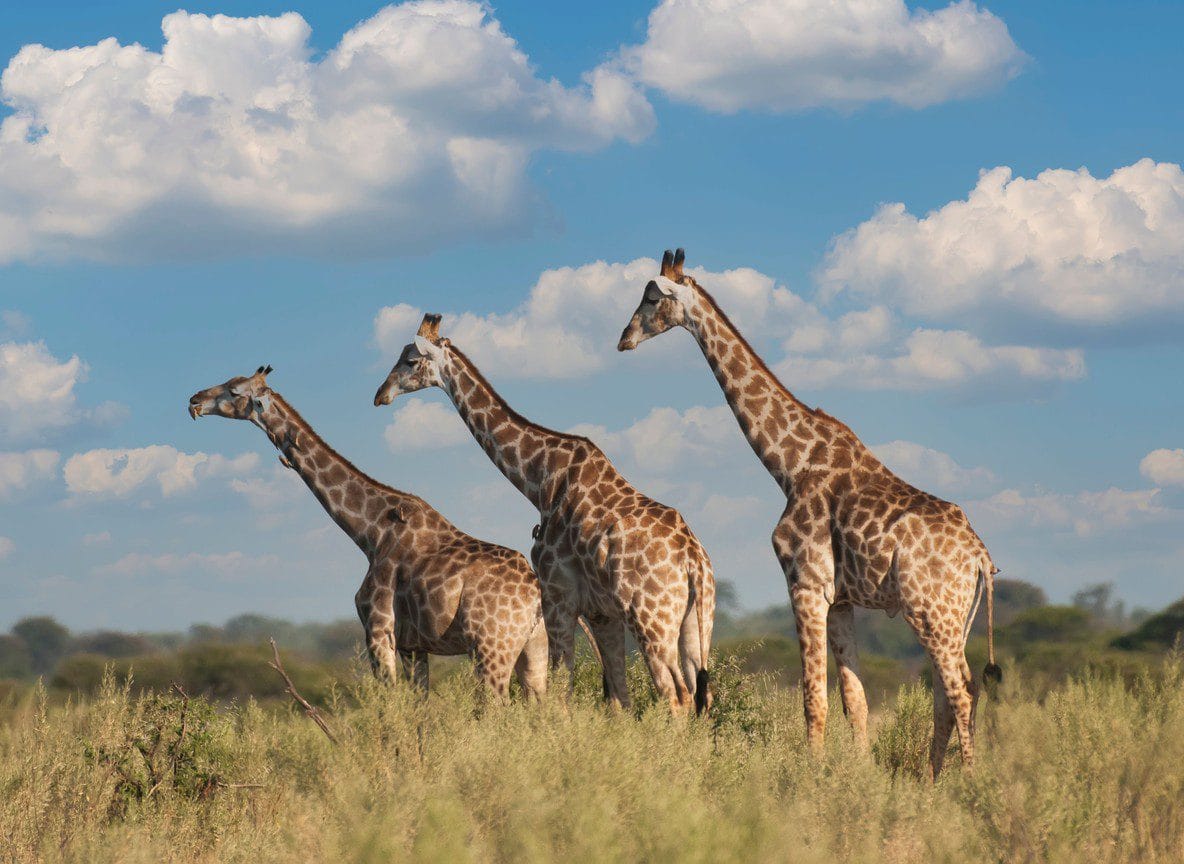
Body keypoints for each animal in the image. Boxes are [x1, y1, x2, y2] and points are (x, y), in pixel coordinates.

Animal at [188, 366, 548, 699]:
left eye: (234, 391)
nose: (194, 401)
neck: (369, 533)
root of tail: (533, 596)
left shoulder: (378, 632)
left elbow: (388, 708)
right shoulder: (413, 646)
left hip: (491, 647)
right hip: (534, 649)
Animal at [374, 315, 716, 715]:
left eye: (410, 360)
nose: (380, 394)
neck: (540, 481)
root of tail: (693, 562)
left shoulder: (557, 596)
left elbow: (559, 690)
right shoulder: (601, 612)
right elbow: (618, 697)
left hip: (651, 619)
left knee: (675, 694)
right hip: (696, 622)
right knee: (699, 693)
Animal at [619, 249, 1001, 775]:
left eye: (653, 297)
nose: (624, 339)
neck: (789, 464)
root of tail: (980, 557)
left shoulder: (804, 583)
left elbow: (812, 698)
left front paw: (812, 775)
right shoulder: (839, 599)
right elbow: (854, 700)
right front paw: (858, 776)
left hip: (932, 611)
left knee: (961, 691)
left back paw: (969, 780)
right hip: (954, 616)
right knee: (953, 691)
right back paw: (931, 780)